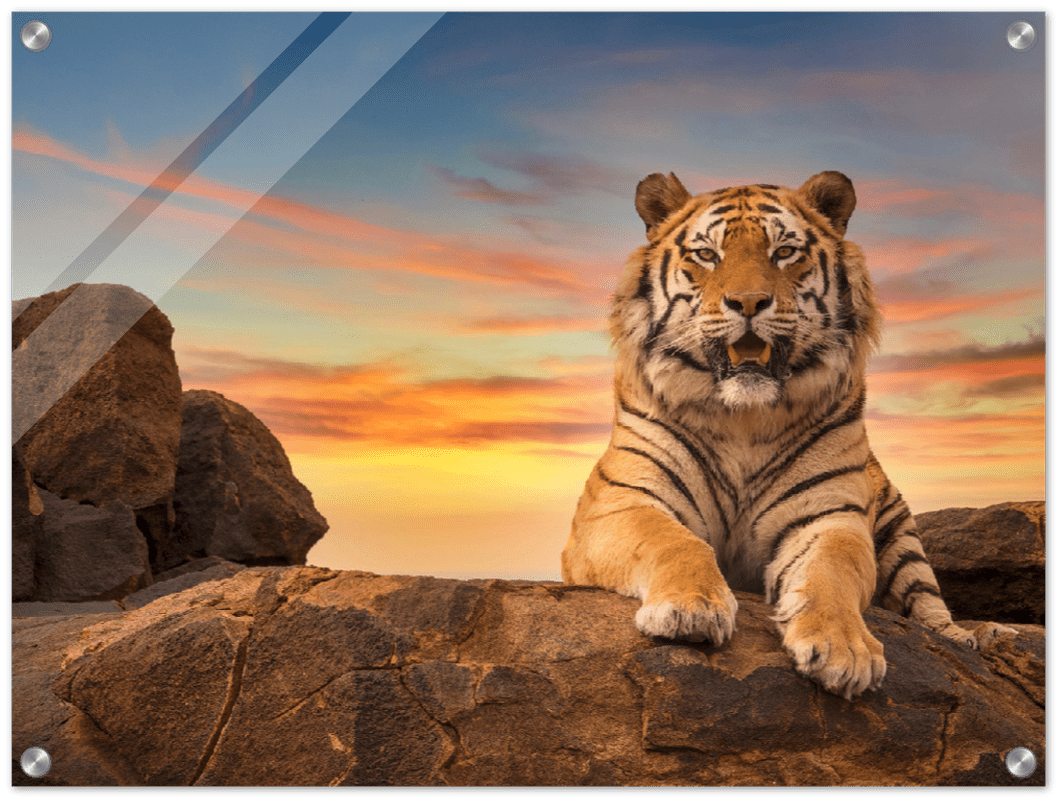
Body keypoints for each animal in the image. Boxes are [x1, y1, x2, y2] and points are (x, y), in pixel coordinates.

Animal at [561, 170, 1015, 699]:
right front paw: (690, 610)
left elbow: (832, 572)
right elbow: (674, 542)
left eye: (784, 251)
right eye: (706, 254)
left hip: (903, 539)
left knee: (931, 610)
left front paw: (844, 650)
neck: (742, 419)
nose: (749, 303)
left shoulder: (830, 517)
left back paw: (977, 636)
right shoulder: (620, 504)